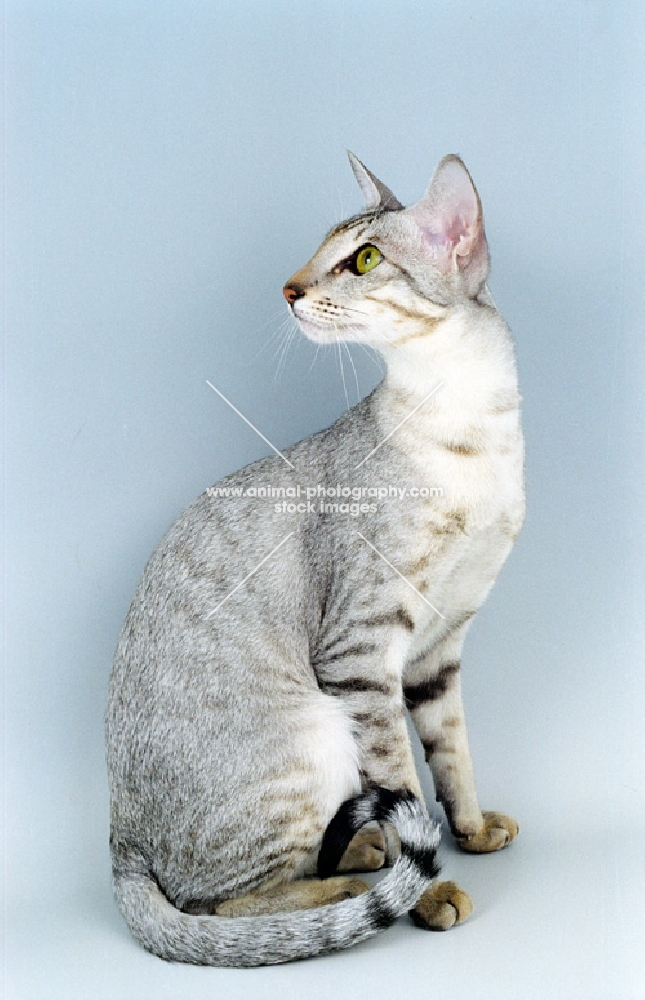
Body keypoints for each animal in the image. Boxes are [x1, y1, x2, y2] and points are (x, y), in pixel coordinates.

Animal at [107, 150, 524, 968]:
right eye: (316, 251)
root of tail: (122, 845)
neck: (472, 432)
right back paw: (357, 879)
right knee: (218, 905)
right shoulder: (361, 652)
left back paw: (360, 851)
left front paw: (469, 831)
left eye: (362, 260)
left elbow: (451, 753)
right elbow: (402, 775)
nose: (289, 287)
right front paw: (430, 890)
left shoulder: (441, 645)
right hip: (316, 731)